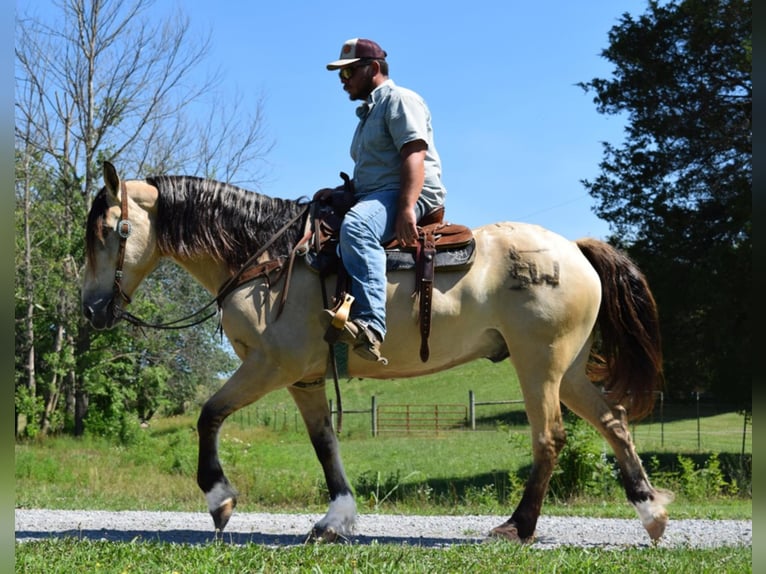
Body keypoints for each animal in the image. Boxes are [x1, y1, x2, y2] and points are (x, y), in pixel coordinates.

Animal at [81, 161, 676, 544]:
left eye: (108, 231)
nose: (91, 310)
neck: (265, 257)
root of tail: (574, 248)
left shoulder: (272, 365)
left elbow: (209, 415)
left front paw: (219, 500)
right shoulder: (304, 377)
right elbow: (325, 444)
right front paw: (336, 521)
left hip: (540, 364)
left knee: (550, 438)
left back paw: (518, 527)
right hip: (568, 369)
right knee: (613, 421)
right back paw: (650, 514)